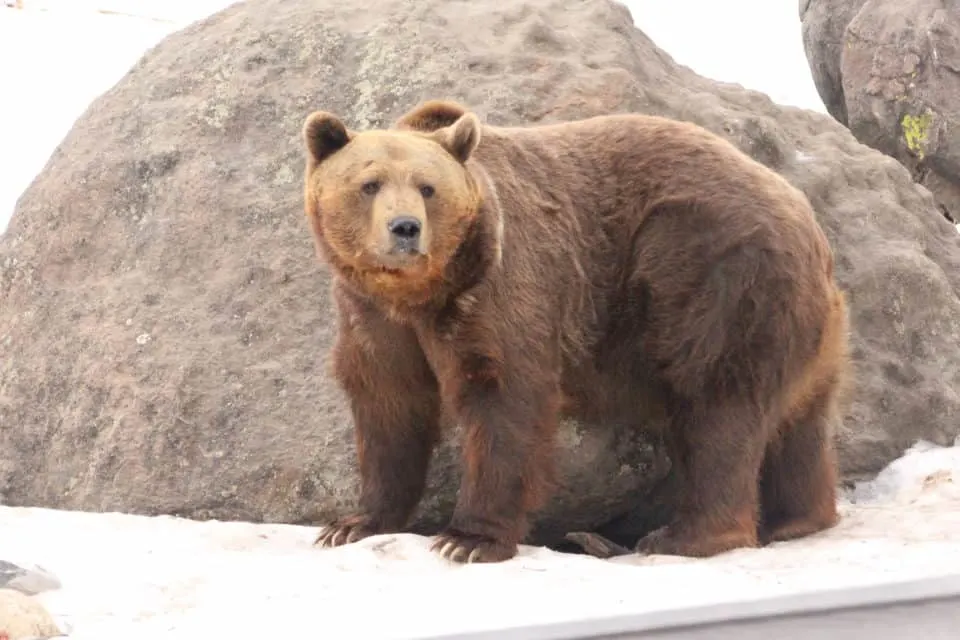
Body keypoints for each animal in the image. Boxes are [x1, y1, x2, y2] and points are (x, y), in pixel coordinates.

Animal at [300, 99, 848, 564]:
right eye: (370, 184)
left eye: (428, 187)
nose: (405, 228)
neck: (419, 295)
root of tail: (810, 223)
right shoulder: (372, 317)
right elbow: (389, 407)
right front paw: (352, 524)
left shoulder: (502, 288)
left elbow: (504, 399)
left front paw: (469, 539)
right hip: (806, 329)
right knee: (797, 426)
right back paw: (796, 519)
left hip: (712, 275)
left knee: (716, 405)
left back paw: (685, 535)